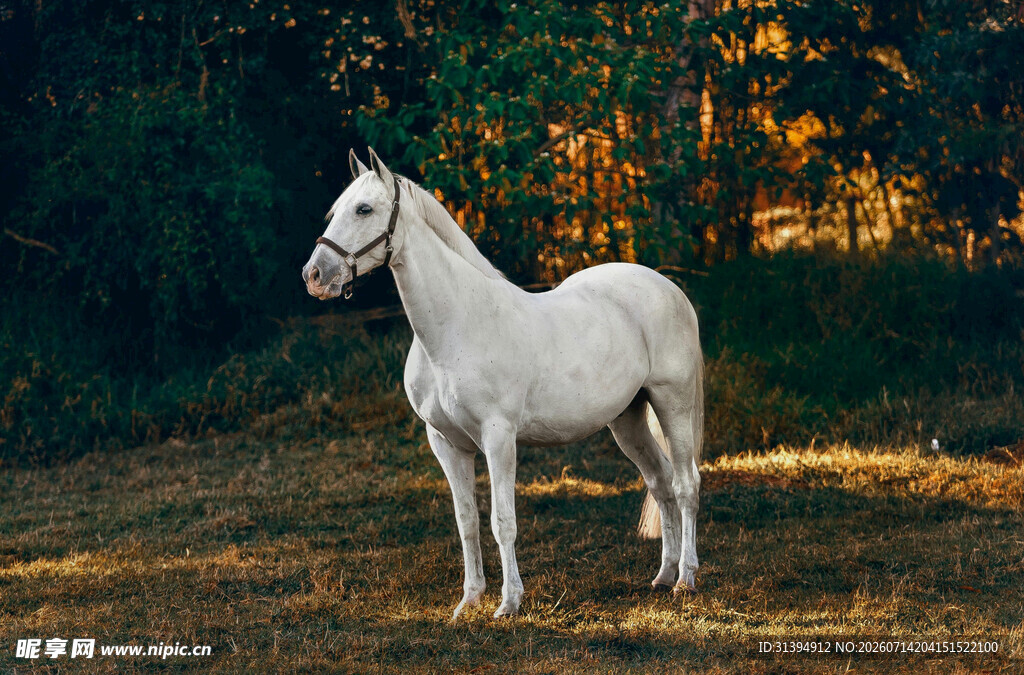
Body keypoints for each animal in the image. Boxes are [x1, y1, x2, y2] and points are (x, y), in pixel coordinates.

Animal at [302, 148, 704, 619]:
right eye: (336, 211)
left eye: (364, 209)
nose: (314, 275)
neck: (456, 326)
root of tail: (669, 288)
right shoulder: (446, 443)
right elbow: (467, 522)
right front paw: (469, 600)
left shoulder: (498, 437)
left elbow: (502, 522)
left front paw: (508, 602)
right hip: (627, 419)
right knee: (660, 483)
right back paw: (663, 575)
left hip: (672, 403)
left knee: (686, 484)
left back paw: (685, 579)